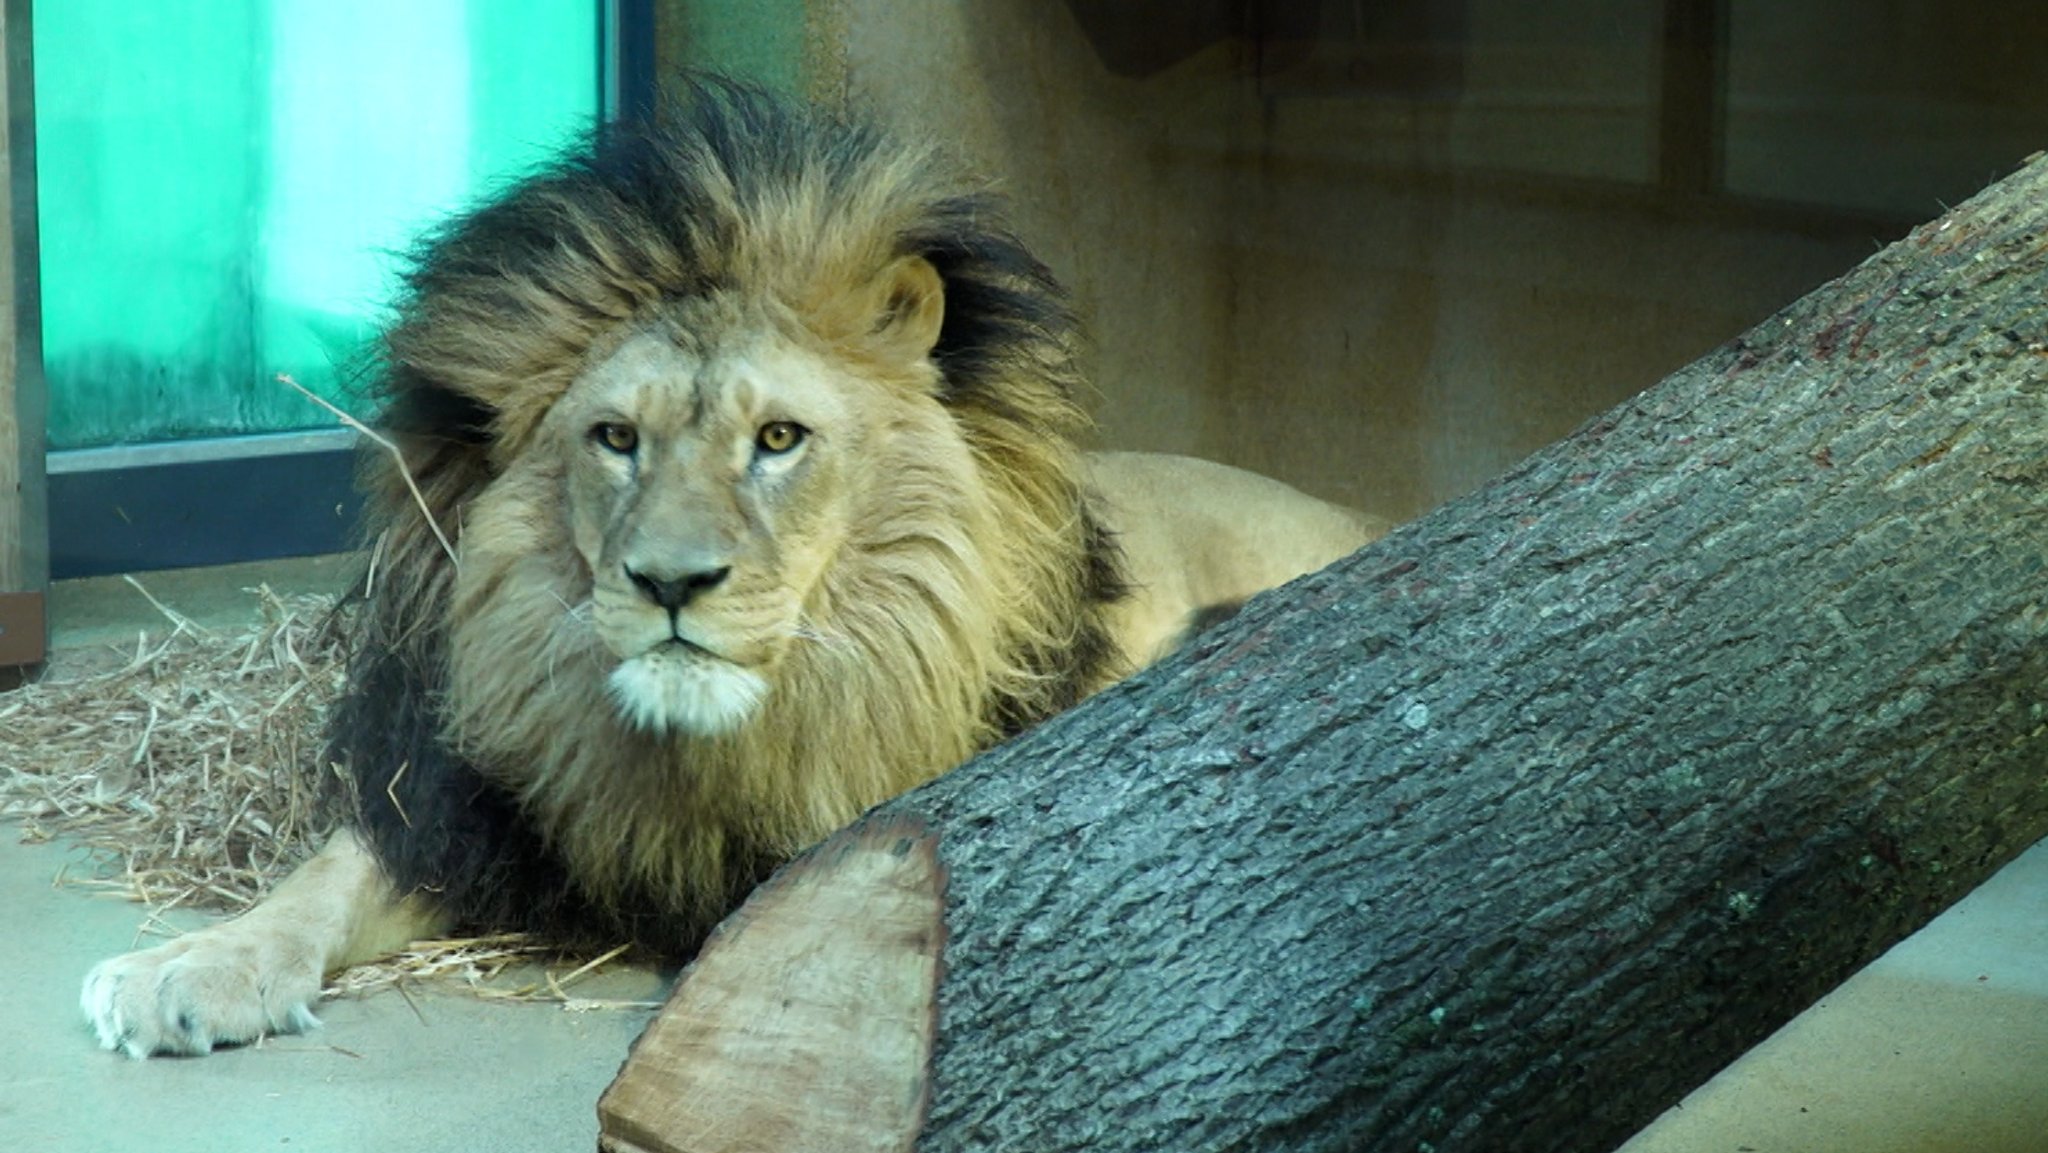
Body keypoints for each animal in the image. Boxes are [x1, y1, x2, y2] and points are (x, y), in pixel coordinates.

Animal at [83, 81, 1392, 1056]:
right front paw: (185, 966)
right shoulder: (485, 809)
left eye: (777, 439)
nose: (671, 584)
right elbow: (323, 876)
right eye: (616, 437)